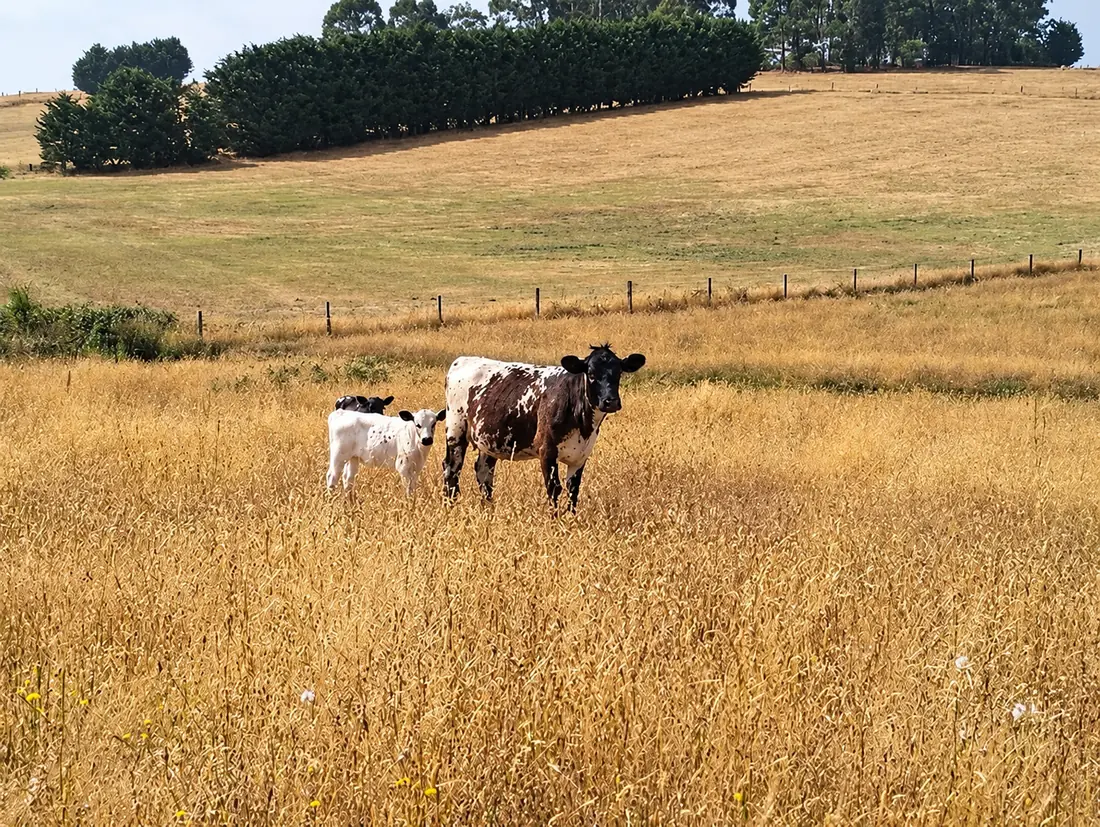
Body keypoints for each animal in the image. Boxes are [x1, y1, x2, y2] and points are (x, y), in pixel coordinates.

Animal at [442, 344, 645, 511]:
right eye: (591, 374)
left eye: (619, 373)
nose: (611, 401)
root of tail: (462, 360)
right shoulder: (546, 451)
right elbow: (554, 488)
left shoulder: (581, 455)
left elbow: (573, 490)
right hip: (456, 430)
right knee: (451, 469)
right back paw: (449, 506)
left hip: (490, 439)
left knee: (484, 472)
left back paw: (489, 510)